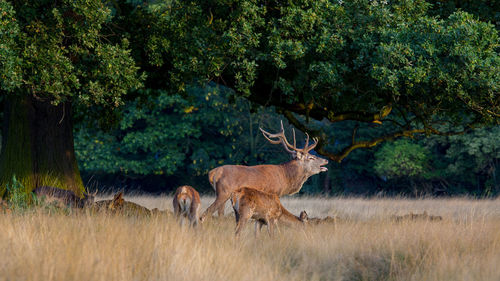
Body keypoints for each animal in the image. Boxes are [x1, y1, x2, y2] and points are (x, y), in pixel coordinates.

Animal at [201, 121, 330, 221]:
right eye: (311, 157)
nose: (326, 160)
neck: (285, 178)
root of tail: (213, 173)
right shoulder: (273, 193)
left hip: (222, 194)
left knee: (219, 214)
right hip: (224, 192)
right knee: (205, 214)